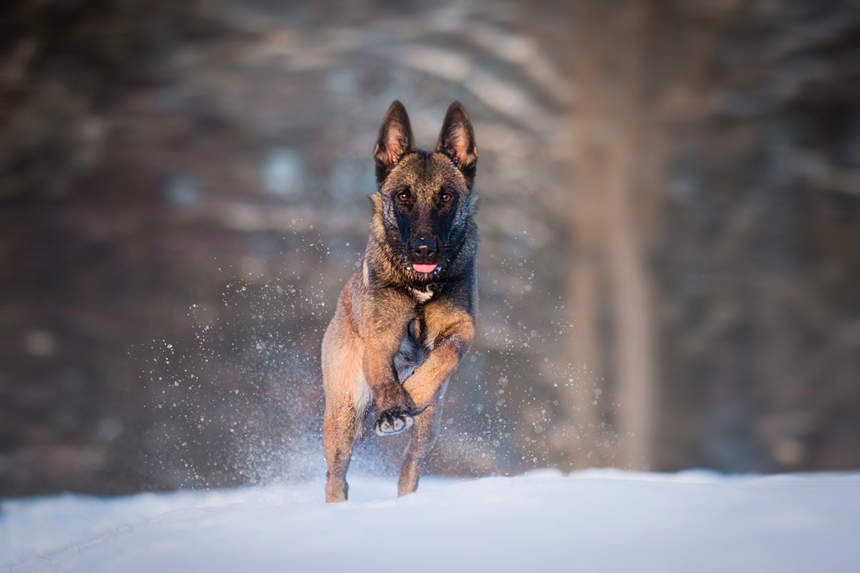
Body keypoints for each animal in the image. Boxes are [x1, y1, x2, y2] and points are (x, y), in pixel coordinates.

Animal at [320, 99, 480, 500]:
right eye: (403, 196)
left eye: (445, 196)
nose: (424, 248)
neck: (419, 282)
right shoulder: (380, 340)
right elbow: (384, 378)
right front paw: (394, 408)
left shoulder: (463, 329)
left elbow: (443, 358)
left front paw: (413, 392)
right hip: (342, 414)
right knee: (336, 473)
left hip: (429, 428)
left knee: (412, 462)